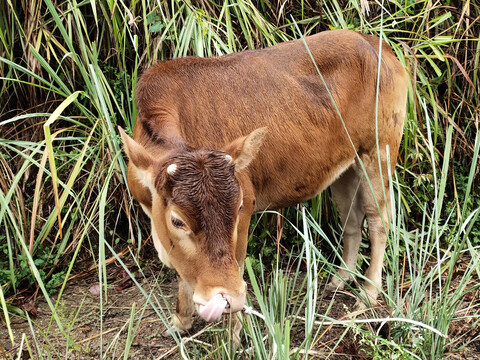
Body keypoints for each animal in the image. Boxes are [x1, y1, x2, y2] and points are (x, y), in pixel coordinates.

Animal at [120, 29, 408, 334]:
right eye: (177, 220)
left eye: (236, 209)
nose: (227, 296)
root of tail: (374, 43)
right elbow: (182, 269)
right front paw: (181, 320)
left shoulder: (246, 202)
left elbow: (235, 261)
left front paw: (234, 333)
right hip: (346, 164)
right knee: (350, 218)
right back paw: (340, 278)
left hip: (379, 149)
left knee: (379, 220)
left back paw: (369, 293)